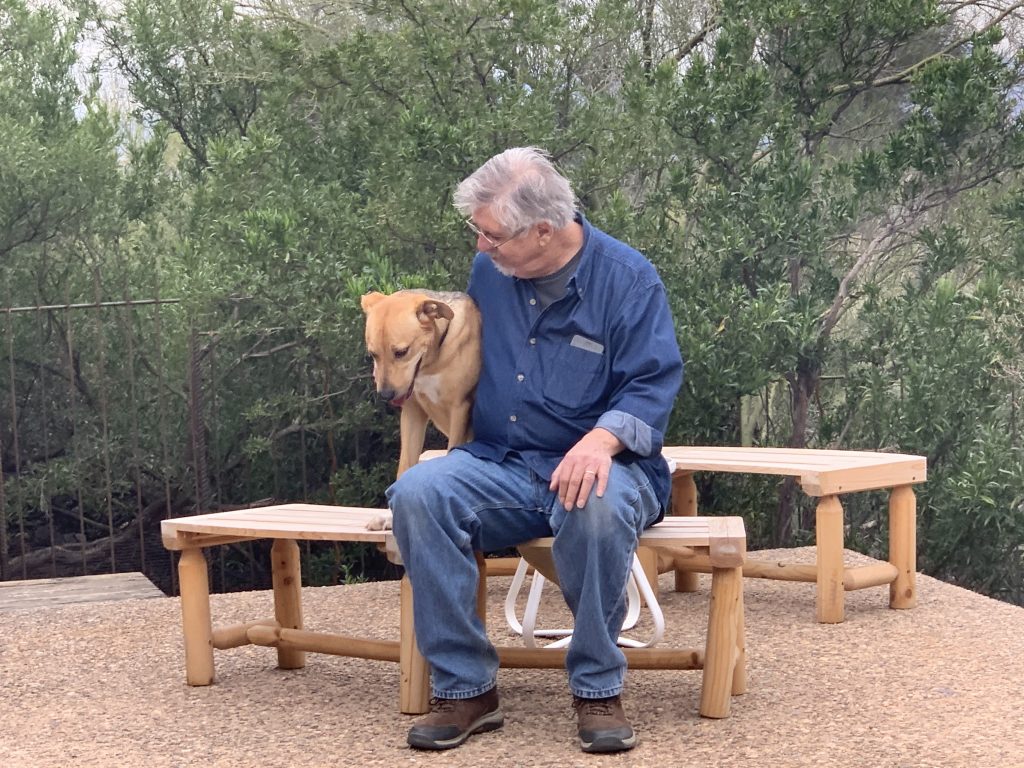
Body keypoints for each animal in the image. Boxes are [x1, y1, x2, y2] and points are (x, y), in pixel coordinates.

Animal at [362, 288, 481, 528]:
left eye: (401, 352)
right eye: (373, 354)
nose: (385, 395)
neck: (433, 360)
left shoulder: (460, 409)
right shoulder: (412, 412)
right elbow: (405, 467)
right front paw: (391, 517)